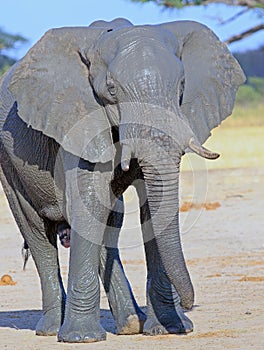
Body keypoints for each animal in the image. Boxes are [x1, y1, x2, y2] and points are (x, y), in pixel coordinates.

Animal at [0, 17, 245, 344]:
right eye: (112, 89)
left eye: (182, 85)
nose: (190, 304)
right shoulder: (77, 120)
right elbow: (87, 201)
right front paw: (82, 339)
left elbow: (147, 207)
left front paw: (170, 328)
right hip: (8, 163)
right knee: (37, 232)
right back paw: (52, 329)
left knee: (109, 223)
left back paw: (130, 325)